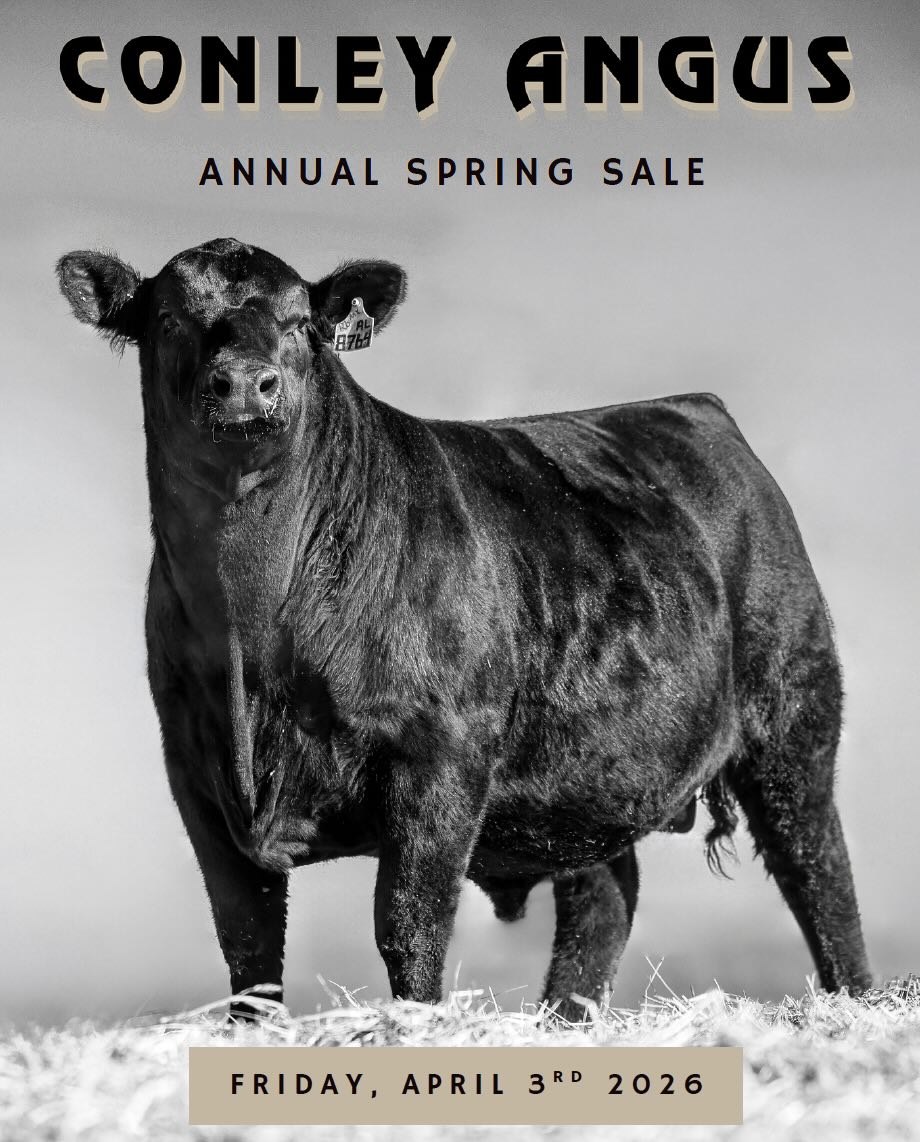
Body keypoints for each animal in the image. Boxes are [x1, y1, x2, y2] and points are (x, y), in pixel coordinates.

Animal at [56, 238, 871, 1020]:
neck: (252, 643)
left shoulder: (440, 755)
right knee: (604, 896)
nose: (246, 383)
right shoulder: (194, 773)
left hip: (792, 712)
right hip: (589, 775)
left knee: (817, 868)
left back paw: (856, 996)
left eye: (300, 324)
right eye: (169, 318)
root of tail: (689, 407)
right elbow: (249, 948)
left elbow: (408, 926)